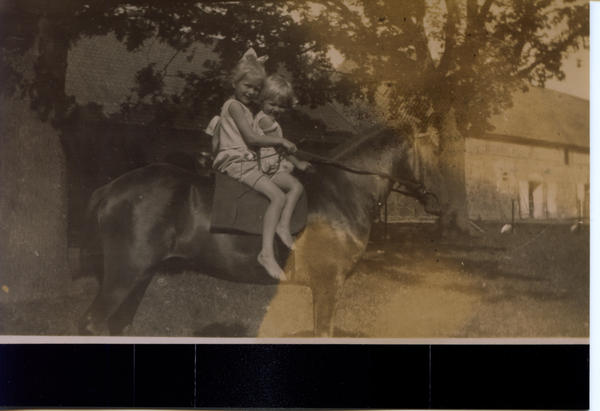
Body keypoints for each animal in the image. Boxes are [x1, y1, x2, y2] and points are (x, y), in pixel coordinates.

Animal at [77, 129, 438, 338]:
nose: (434, 200)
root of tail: (110, 189)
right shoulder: (328, 286)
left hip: (140, 277)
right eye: (432, 151)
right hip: (124, 274)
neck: (343, 191)